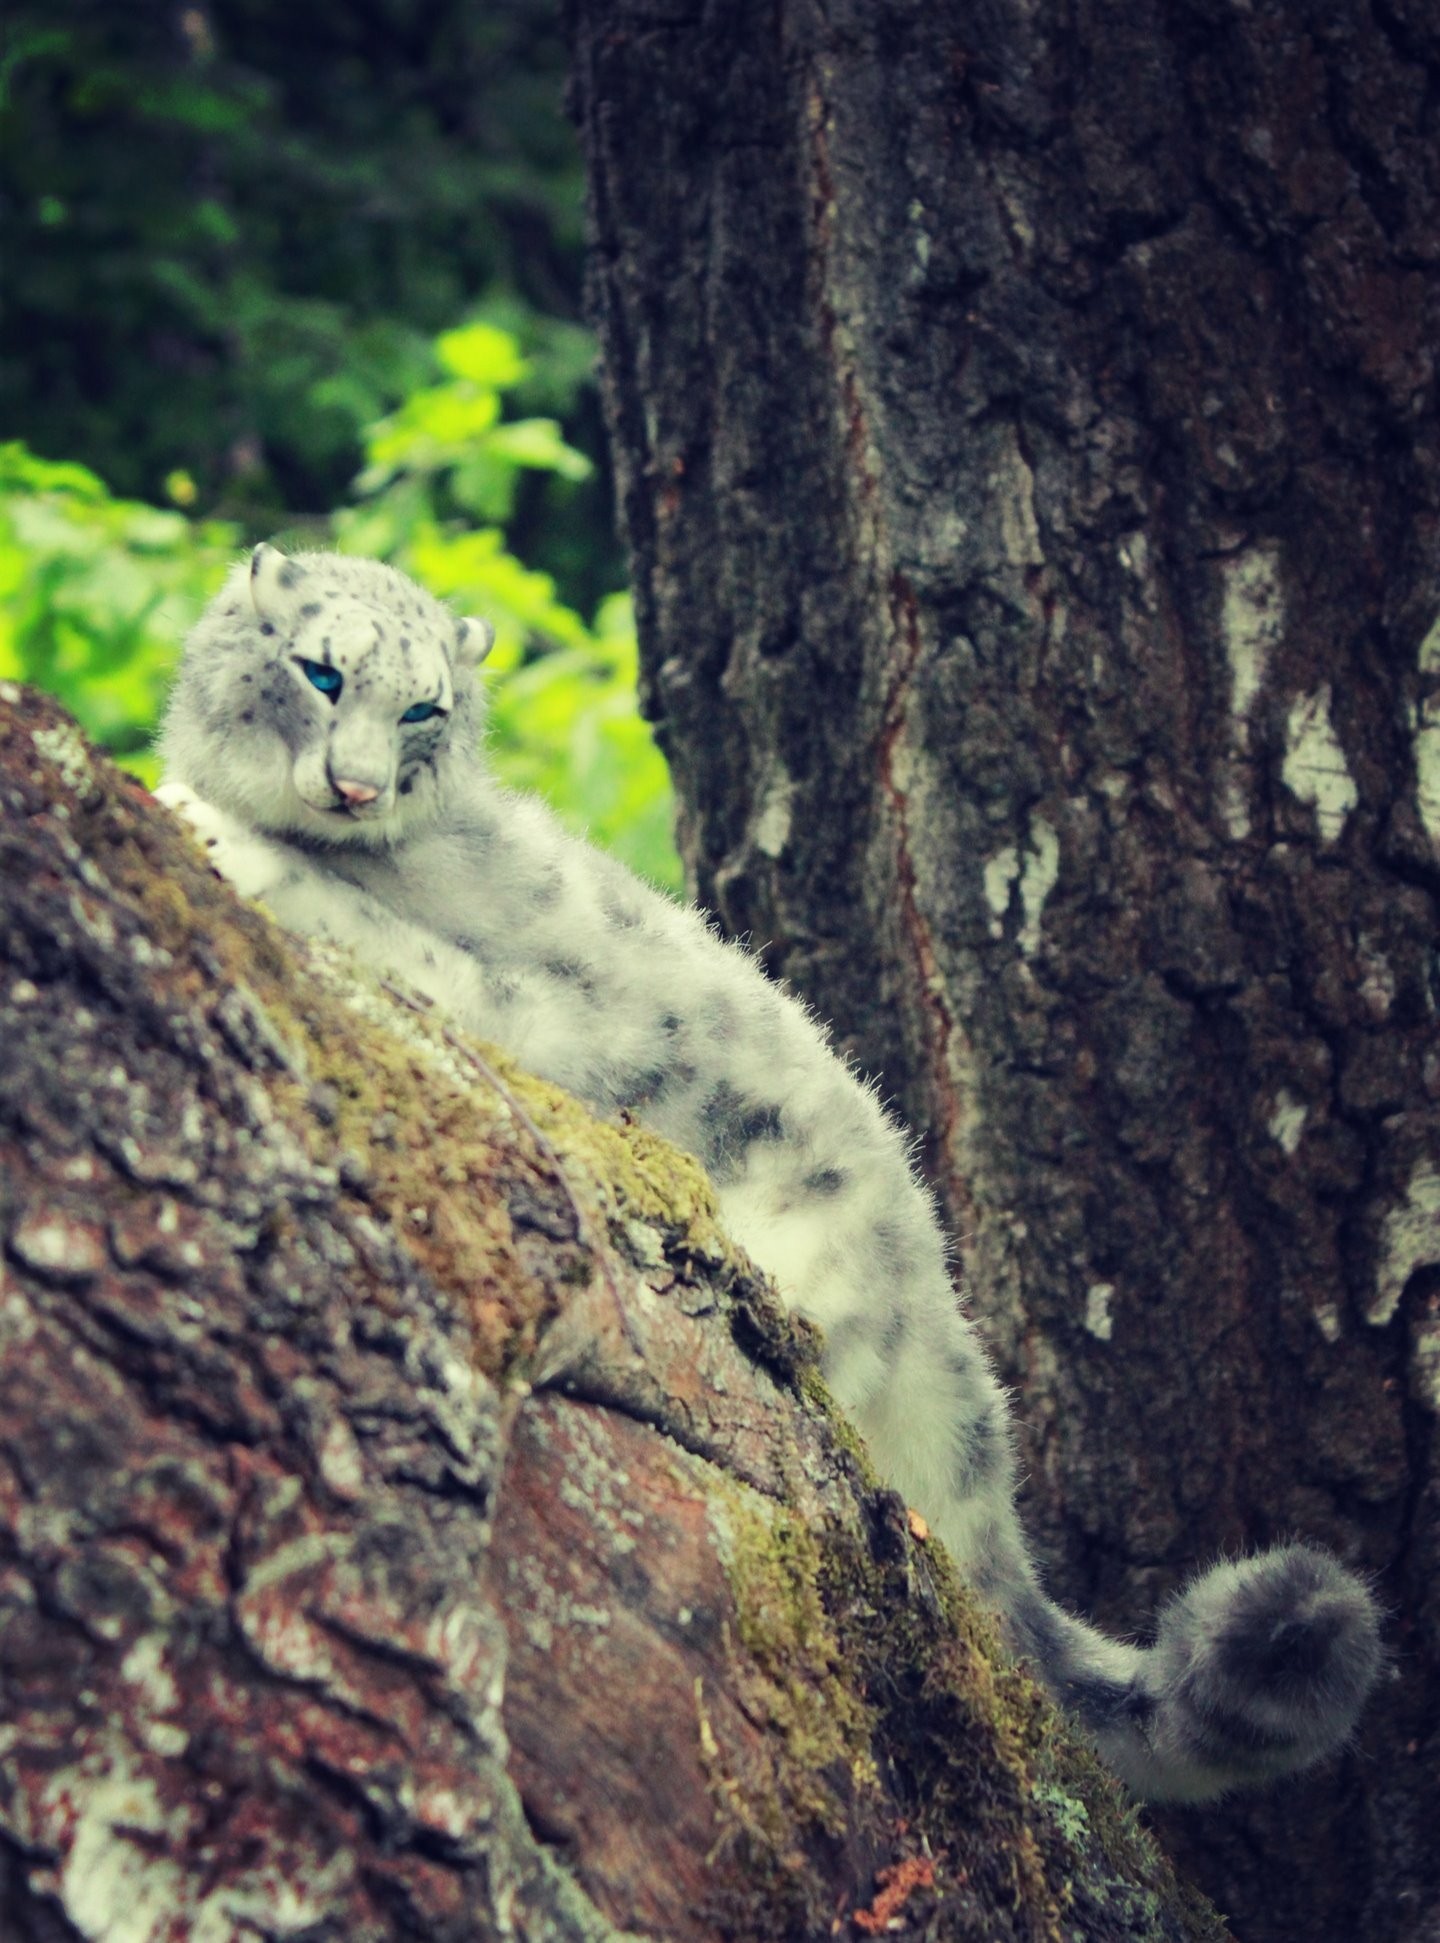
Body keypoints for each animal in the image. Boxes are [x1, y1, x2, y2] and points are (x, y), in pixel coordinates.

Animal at [157, 540, 1383, 1795]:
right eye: (320, 670)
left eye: (421, 709)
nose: (355, 787)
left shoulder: (559, 1010)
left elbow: (405, 944)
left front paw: (212, 827)